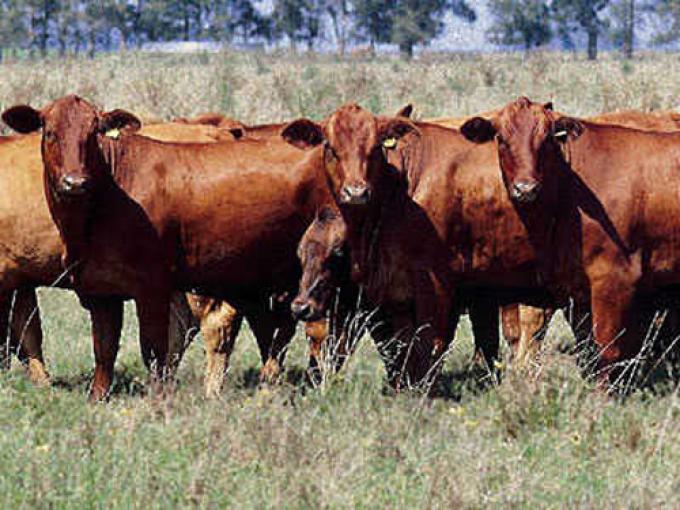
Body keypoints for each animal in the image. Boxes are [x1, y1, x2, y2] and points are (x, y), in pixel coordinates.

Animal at [1, 94, 332, 398]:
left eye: (93, 133)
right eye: (49, 132)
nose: (74, 182)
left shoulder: (151, 285)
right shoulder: (89, 287)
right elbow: (89, 347)